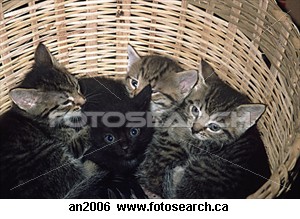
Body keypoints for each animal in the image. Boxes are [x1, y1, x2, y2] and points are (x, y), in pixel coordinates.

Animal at [0, 43, 89, 198]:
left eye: (76, 86)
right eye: (66, 102)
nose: (83, 101)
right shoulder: (69, 146)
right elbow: (81, 138)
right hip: (53, 156)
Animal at [164, 60, 272, 198]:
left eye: (214, 127)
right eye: (195, 110)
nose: (194, 129)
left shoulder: (207, 149)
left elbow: (192, 142)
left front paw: (177, 128)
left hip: (202, 169)